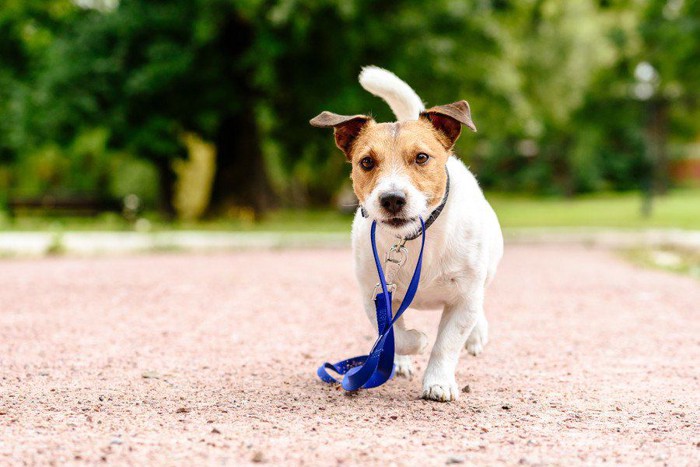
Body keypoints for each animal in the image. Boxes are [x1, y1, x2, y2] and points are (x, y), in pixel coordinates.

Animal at [312, 66, 504, 402]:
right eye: (366, 162)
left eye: (422, 157)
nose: (392, 199)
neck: (412, 239)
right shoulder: (375, 293)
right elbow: (395, 335)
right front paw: (416, 341)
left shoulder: (464, 297)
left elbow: (447, 343)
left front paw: (438, 382)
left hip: (488, 268)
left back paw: (477, 334)